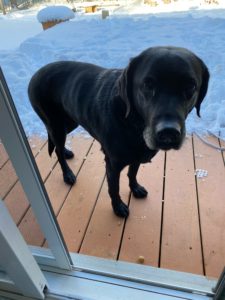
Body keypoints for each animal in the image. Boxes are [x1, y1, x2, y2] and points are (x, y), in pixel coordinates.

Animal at [28, 45, 209, 217]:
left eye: (191, 86)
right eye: (148, 84)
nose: (169, 132)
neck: (133, 124)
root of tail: (35, 74)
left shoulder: (136, 156)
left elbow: (133, 173)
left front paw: (135, 188)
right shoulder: (112, 165)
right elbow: (113, 188)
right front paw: (118, 207)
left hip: (70, 121)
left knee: (57, 143)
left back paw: (66, 152)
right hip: (57, 125)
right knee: (56, 148)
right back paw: (67, 174)